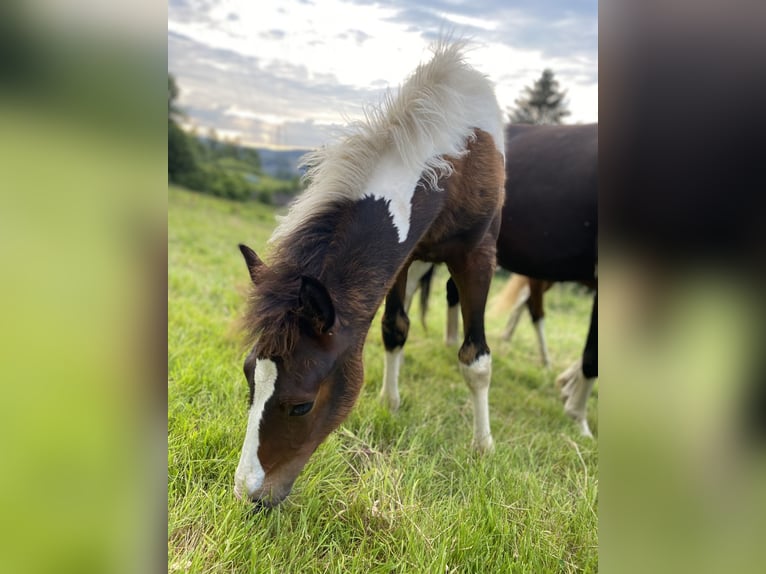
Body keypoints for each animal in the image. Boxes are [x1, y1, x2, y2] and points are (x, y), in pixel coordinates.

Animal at [234, 44, 510, 508]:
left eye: (301, 405)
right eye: (248, 373)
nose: (249, 495)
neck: (453, 155)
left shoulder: (478, 256)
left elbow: (476, 359)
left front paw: (484, 445)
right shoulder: (402, 258)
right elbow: (394, 328)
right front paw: (388, 401)